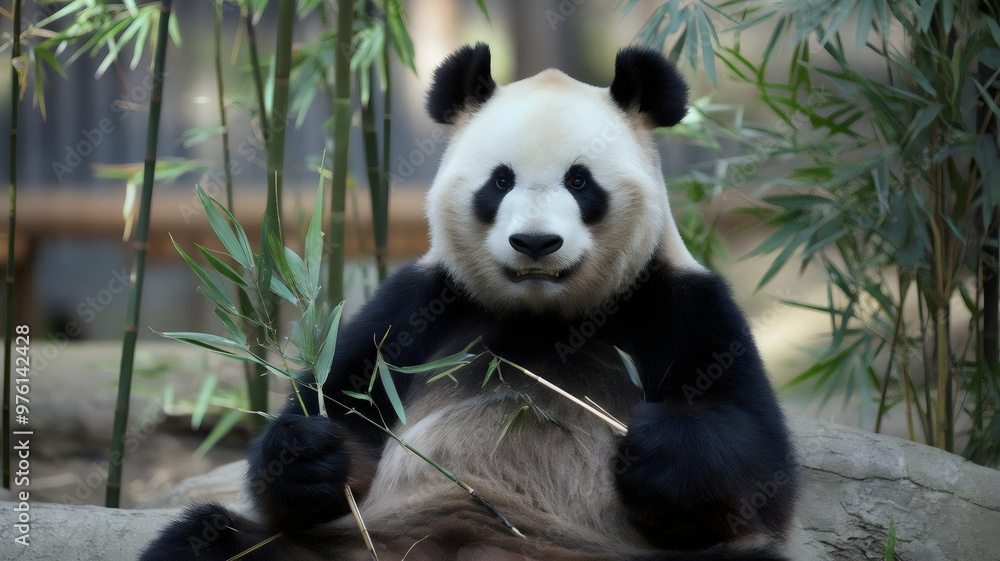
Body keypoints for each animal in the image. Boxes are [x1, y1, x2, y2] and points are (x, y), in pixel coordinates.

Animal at [141, 43, 798, 561]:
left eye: (579, 181)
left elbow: (757, 469)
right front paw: (311, 454)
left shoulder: (681, 304)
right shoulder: (416, 308)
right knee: (210, 541)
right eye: (500, 181)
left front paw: (658, 446)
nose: (535, 243)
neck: (545, 315)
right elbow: (340, 415)